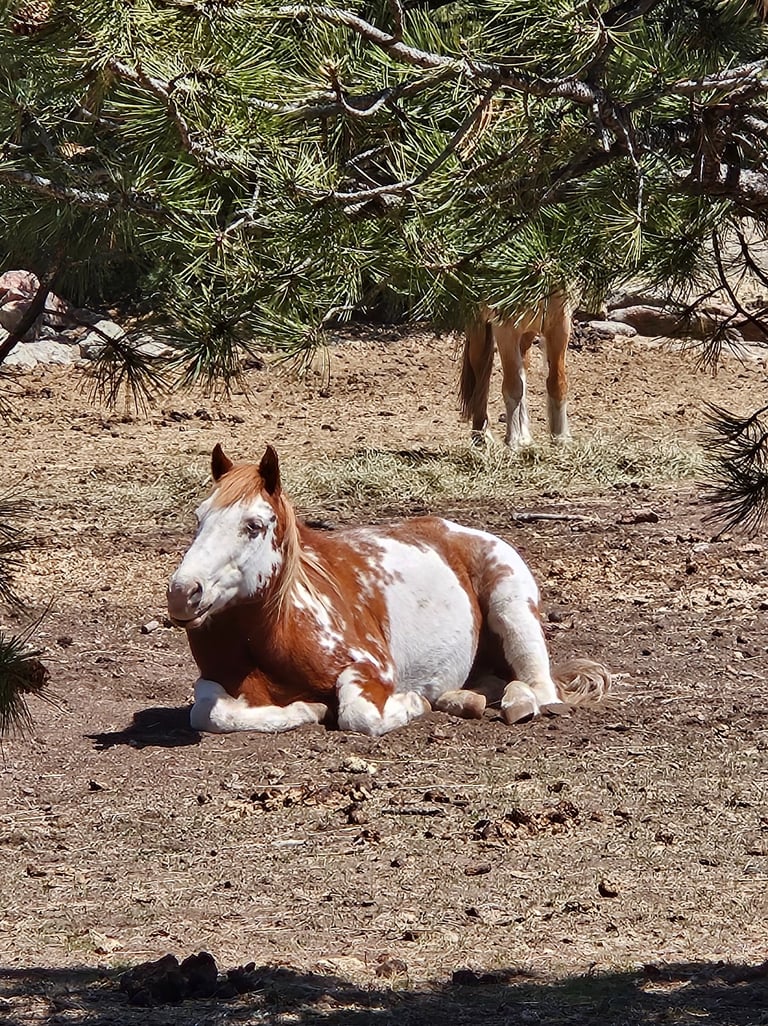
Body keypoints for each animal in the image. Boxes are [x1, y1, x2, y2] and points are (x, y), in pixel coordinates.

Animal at [167, 444, 611, 736]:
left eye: (254, 525)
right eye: (200, 517)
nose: (183, 592)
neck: (280, 634)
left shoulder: (370, 670)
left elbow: (359, 715)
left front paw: (412, 702)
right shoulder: (215, 681)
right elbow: (208, 712)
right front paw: (308, 709)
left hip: (513, 608)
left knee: (539, 687)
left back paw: (513, 703)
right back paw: (461, 700)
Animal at [460, 290, 571, 447]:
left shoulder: (560, 325)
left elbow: (557, 383)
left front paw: (561, 437)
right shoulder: (506, 331)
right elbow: (513, 387)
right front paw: (514, 440)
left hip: (527, 334)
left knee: (521, 371)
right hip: (478, 328)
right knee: (481, 376)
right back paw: (482, 435)